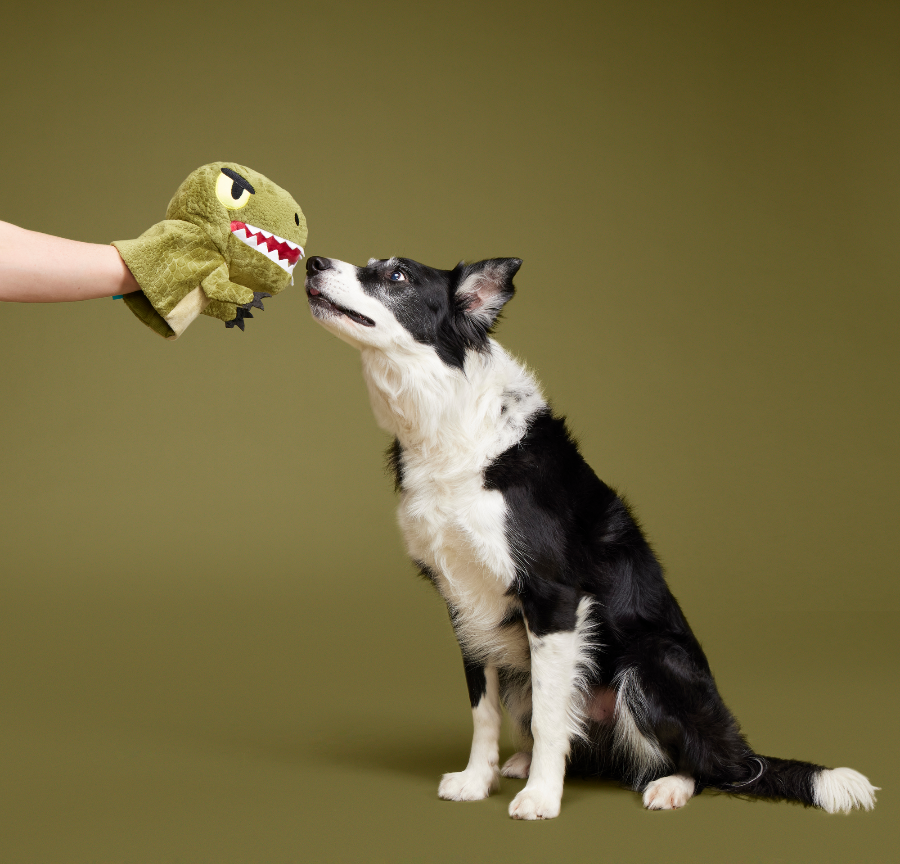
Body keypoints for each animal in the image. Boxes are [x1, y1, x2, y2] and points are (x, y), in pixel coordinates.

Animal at [306, 253, 876, 820]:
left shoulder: (553, 596)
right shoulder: (464, 600)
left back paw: (670, 786)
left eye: (396, 277)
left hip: (650, 662)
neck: (447, 419)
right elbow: (482, 709)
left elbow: (549, 716)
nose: (312, 262)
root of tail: (738, 747)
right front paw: (477, 780)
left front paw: (541, 797)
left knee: (709, 764)